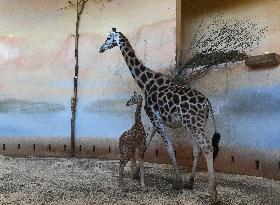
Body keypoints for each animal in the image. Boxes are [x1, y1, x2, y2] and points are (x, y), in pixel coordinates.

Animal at [100, 28, 221, 204]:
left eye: (109, 37)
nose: (101, 48)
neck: (146, 82)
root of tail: (207, 103)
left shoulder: (156, 119)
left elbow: (169, 147)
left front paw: (177, 181)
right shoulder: (155, 119)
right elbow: (147, 143)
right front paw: (136, 174)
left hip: (193, 123)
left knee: (206, 147)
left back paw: (213, 195)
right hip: (197, 124)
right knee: (197, 148)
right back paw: (190, 182)